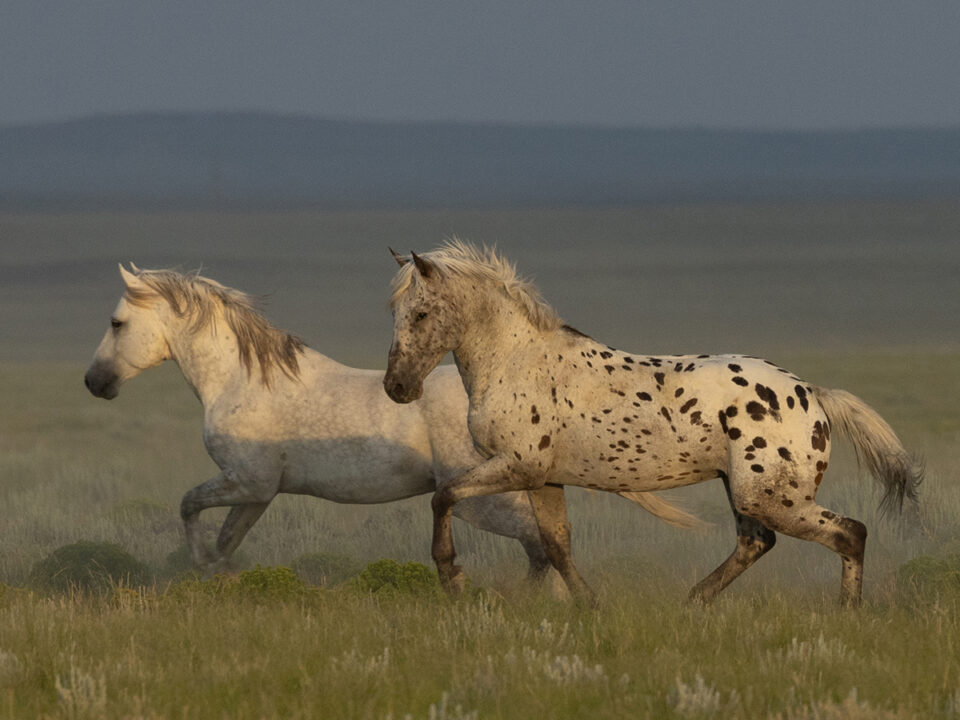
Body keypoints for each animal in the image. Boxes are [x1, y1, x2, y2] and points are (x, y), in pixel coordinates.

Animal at [382, 242, 924, 608]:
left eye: (422, 313)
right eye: (394, 312)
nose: (396, 387)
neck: (519, 361)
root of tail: (812, 394)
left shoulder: (515, 467)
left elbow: (444, 496)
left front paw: (452, 577)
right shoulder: (544, 478)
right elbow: (557, 545)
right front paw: (590, 605)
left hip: (770, 496)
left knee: (849, 533)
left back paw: (846, 613)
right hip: (746, 490)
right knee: (757, 543)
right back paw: (692, 601)